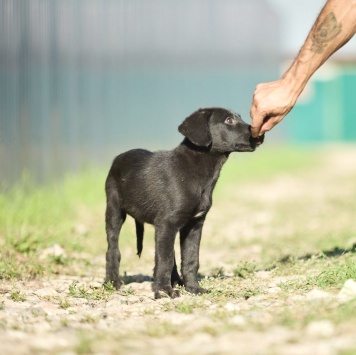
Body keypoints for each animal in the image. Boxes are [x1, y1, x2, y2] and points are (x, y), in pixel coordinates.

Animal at [104, 108, 262, 300]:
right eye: (228, 120)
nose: (260, 134)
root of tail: (118, 158)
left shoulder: (193, 224)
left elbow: (190, 259)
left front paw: (193, 288)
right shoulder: (167, 223)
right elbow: (164, 260)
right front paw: (164, 291)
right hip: (114, 210)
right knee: (113, 249)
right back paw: (113, 282)